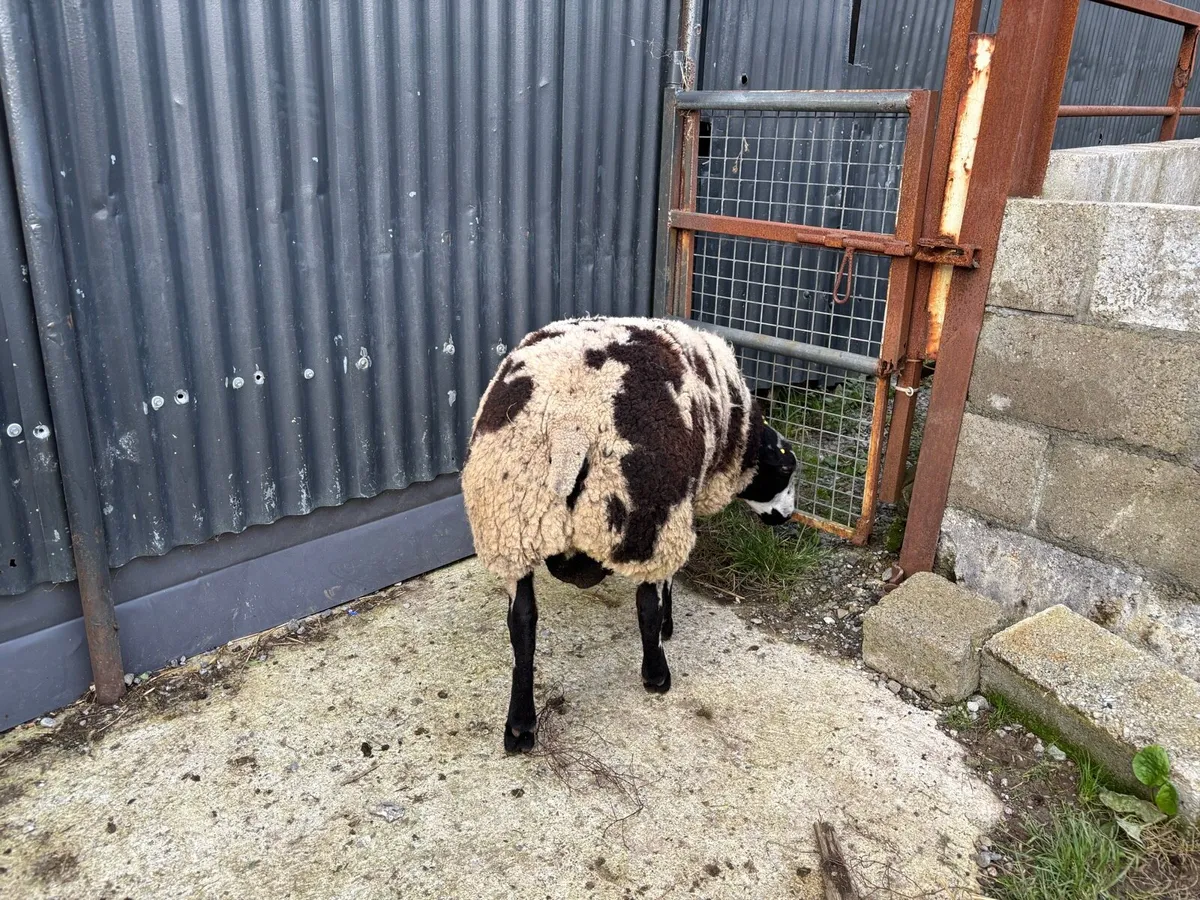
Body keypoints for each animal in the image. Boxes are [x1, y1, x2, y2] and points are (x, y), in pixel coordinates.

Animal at [461, 316, 798, 752]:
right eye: (787, 470)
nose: (787, 518)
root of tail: (569, 425)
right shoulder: (680, 508)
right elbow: (665, 586)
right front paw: (668, 627)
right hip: (648, 515)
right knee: (645, 602)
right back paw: (656, 674)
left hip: (511, 526)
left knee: (522, 622)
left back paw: (520, 725)